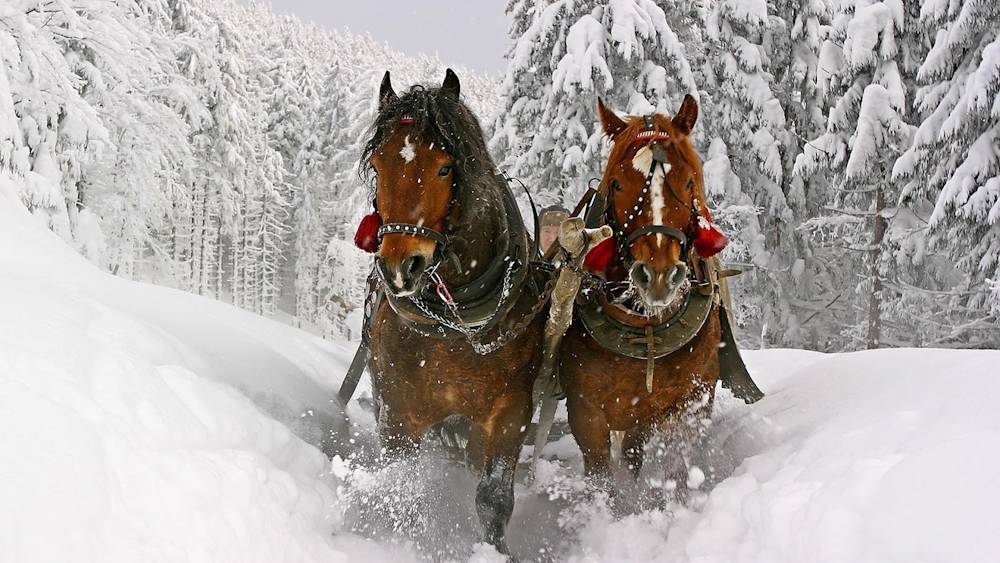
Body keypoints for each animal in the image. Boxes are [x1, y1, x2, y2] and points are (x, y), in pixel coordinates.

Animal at [360, 69, 548, 555]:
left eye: (445, 168)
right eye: (378, 166)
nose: (400, 267)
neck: (456, 326)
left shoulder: (510, 412)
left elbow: (494, 498)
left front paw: (497, 552)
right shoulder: (398, 410)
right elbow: (402, 485)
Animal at [559, 95, 729, 501]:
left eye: (688, 181)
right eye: (618, 184)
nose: (658, 276)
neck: (645, 327)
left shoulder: (693, 401)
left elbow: (681, 466)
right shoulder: (586, 414)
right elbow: (601, 477)